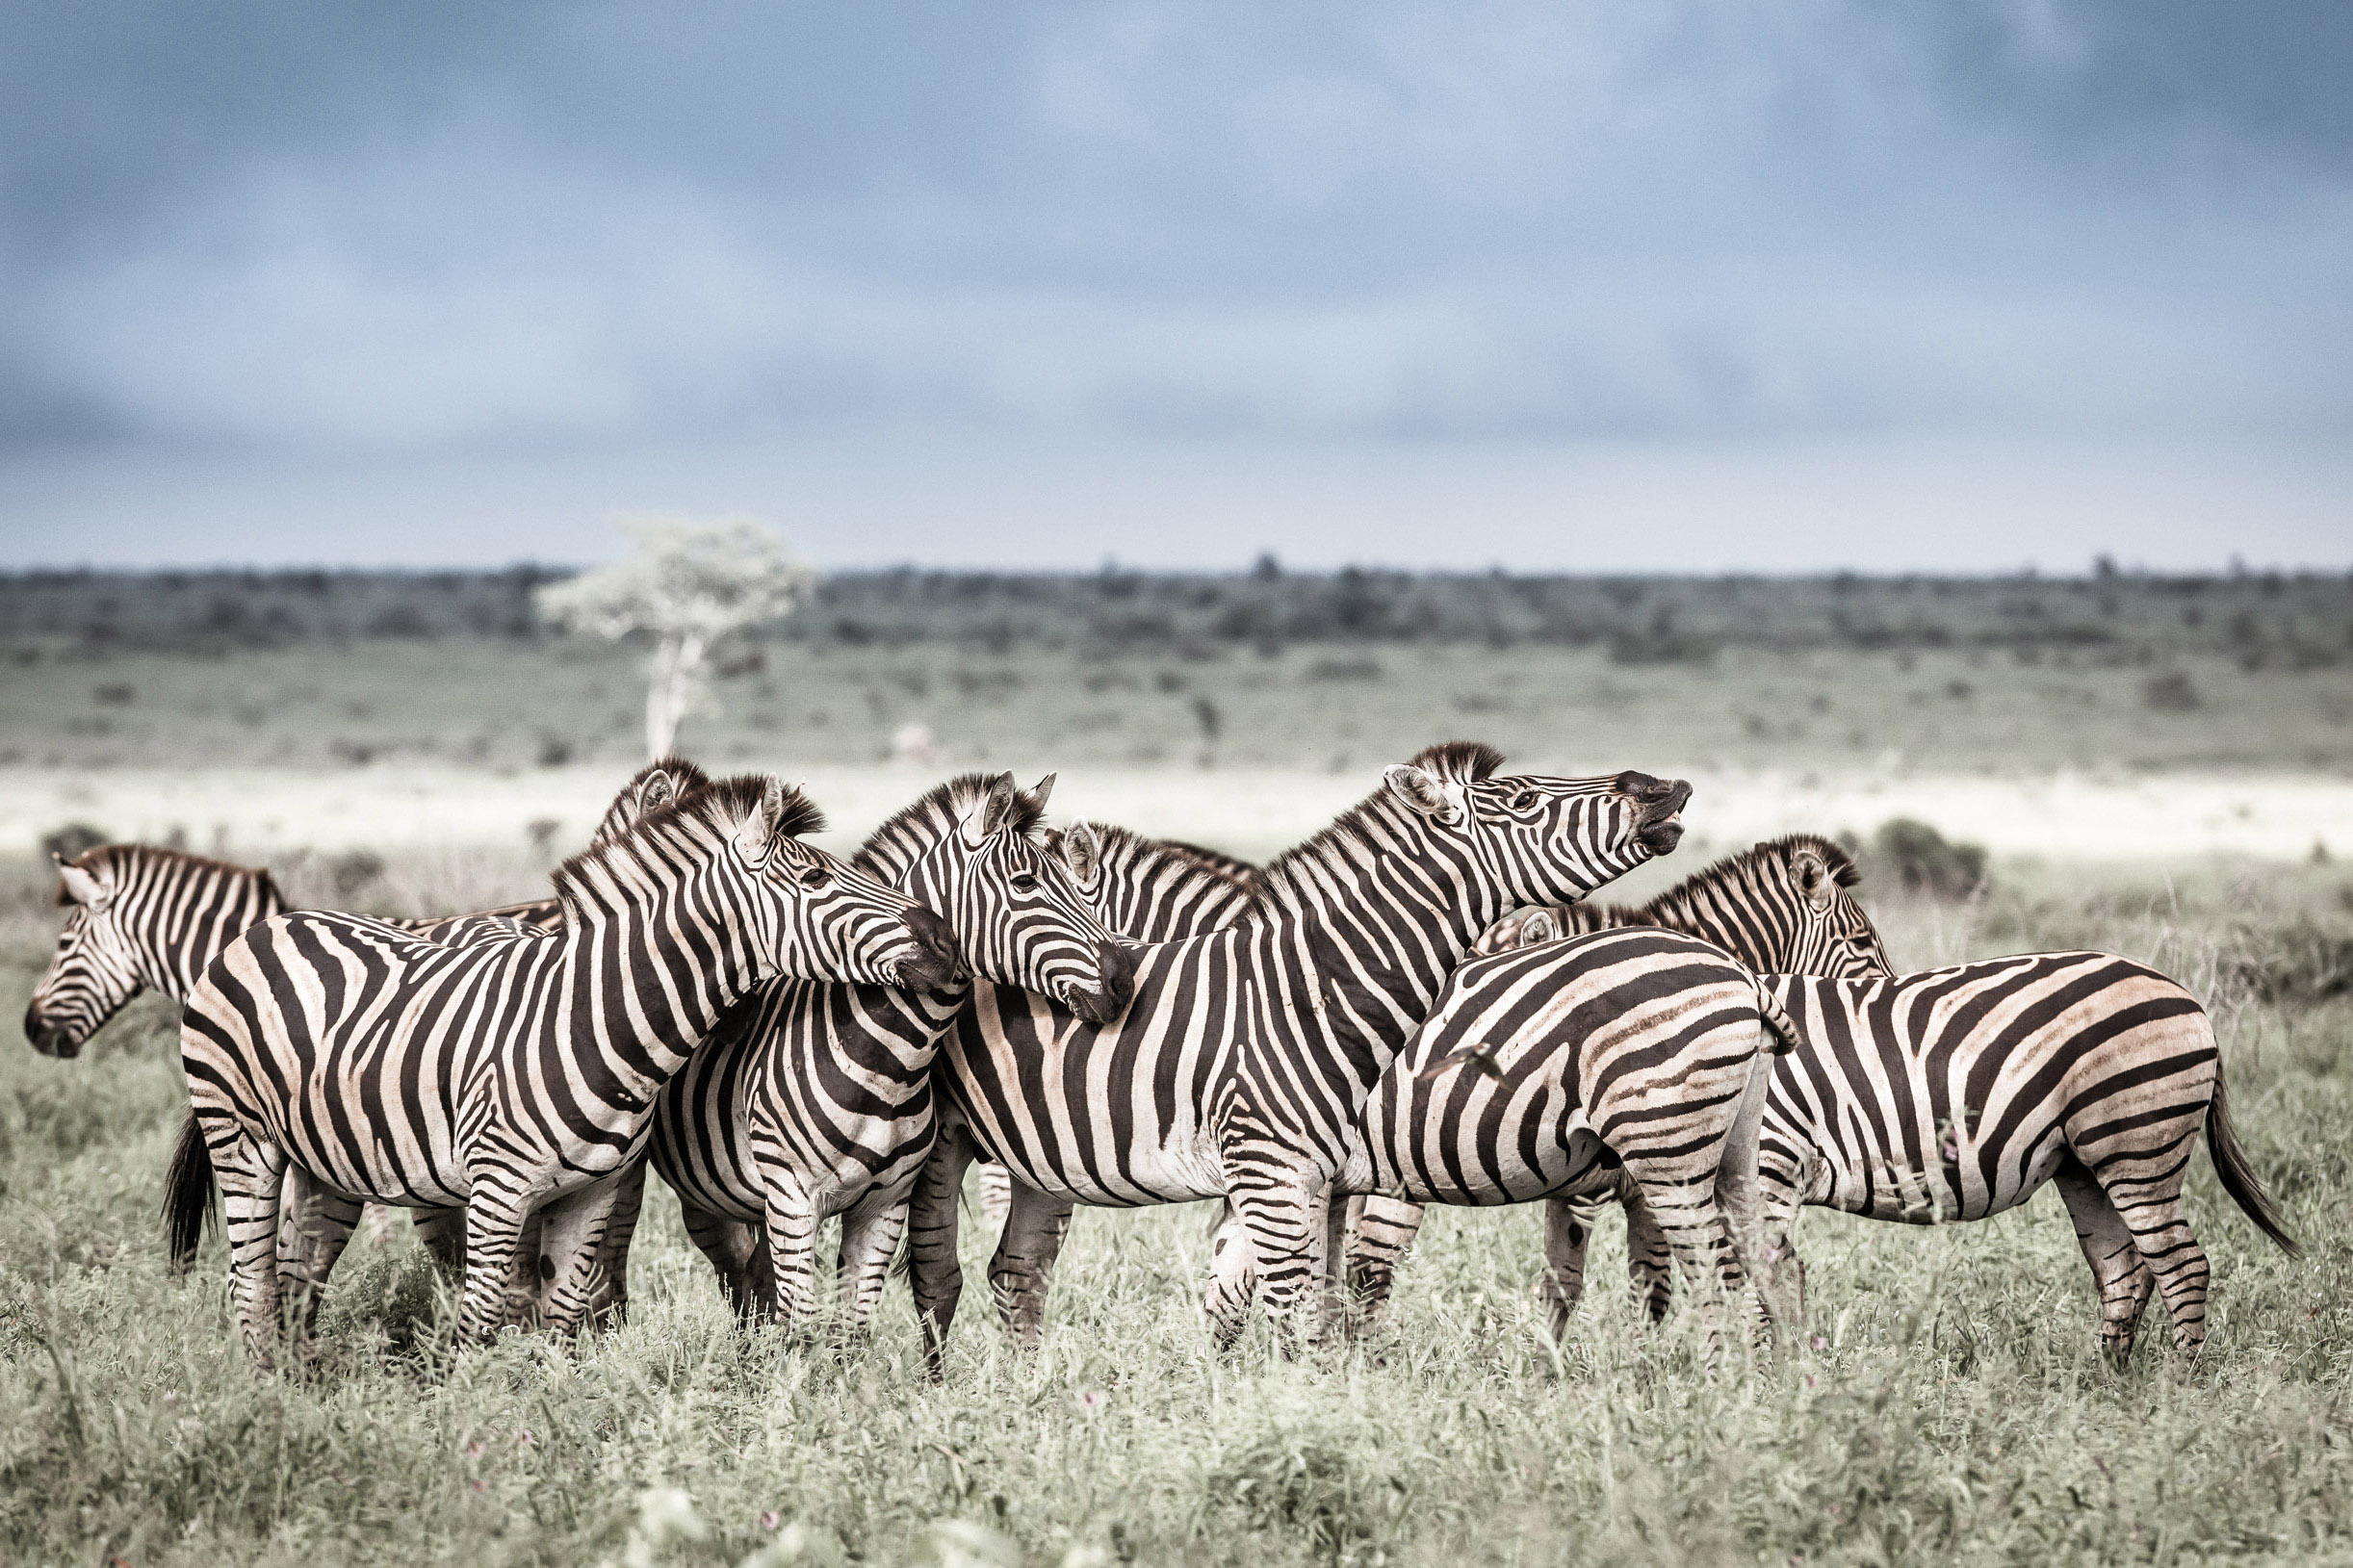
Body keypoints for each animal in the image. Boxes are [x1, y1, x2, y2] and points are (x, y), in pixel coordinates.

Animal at [172, 772, 961, 1368]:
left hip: (325, 1160)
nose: (945, 940)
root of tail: (269, 926)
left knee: (298, 1274)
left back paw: (302, 1388)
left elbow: (559, 1318)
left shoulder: (593, 1189)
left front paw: (548, 1416)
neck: (597, 1018)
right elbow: (481, 1318)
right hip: (241, 1137)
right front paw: (472, 1428)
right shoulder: (498, 1186)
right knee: (250, 1282)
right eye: (818, 877)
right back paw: (270, 1399)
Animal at [642, 771, 1134, 1334]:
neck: (890, 1061)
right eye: (1025, 884)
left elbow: (852, 1327)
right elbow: (803, 1321)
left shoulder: (886, 1201)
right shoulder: (794, 1197)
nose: (1124, 981)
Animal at [903, 742, 1691, 1367]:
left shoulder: (1316, 1174)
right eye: (1527, 800)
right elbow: (1296, 1306)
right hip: (945, 1141)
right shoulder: (1275, 1166)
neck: (1308, 988)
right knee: (939, 1268)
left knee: (1016, 1271)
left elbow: (1299, 1300)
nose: (1666, 787)